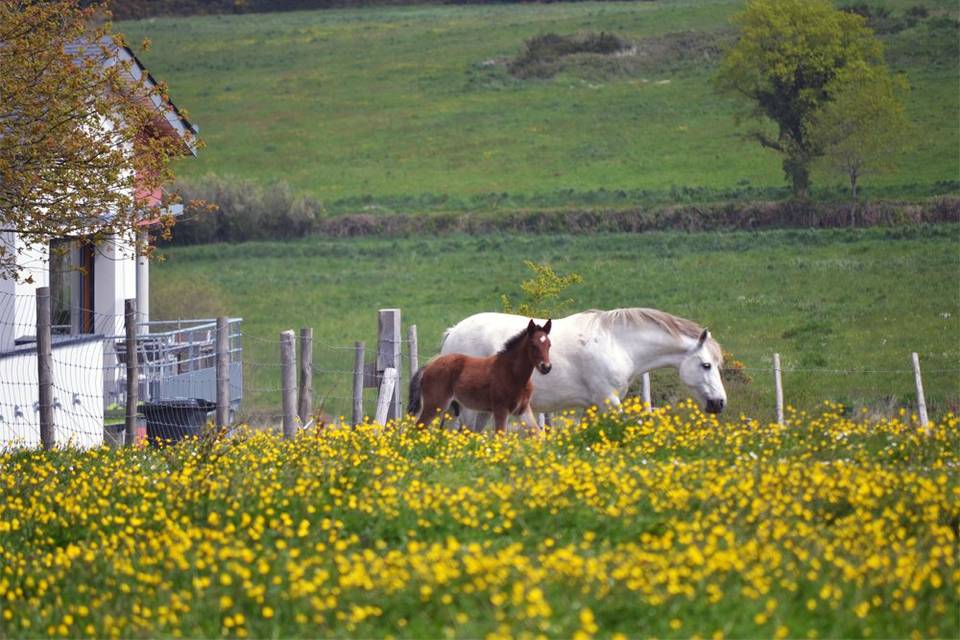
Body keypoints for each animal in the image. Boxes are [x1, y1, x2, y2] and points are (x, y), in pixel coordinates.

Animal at [406, 320, 556, 436]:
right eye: (533, 345)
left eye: (549, 345)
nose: (546, 367)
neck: (513, 374)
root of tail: (429, 365)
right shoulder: (501, 409)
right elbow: (500, 437)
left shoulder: (522, 409)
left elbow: (538, 434)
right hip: (435, 404)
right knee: (419, 428)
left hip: (452, 408)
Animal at [438, 308, 724, 430]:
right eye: (706, 365)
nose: (720, 403)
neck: (617, 342)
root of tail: (453, 332)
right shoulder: (609, 401)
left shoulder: (592, 406)